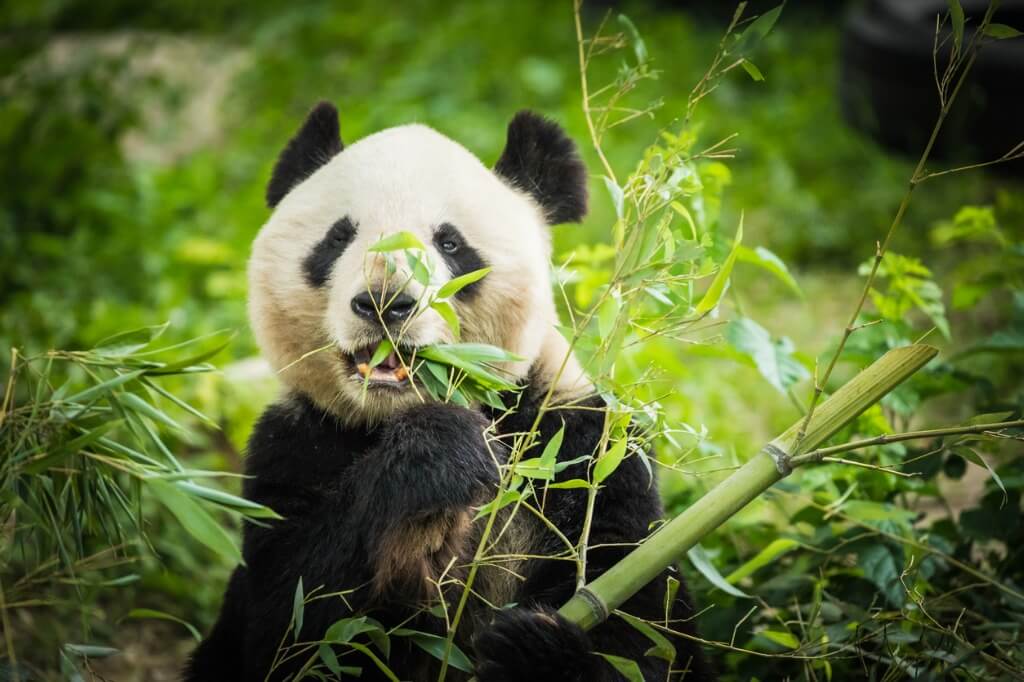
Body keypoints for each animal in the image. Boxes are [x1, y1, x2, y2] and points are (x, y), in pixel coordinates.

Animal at [184, 102, 712, 679]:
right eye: (338, 238)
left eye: (450, 243)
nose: (384, 301)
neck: (401, 409)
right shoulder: (294, 446)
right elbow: (292, 621)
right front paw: (437, 452)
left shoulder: (579, 446)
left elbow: (641, 615)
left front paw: (535, 651)